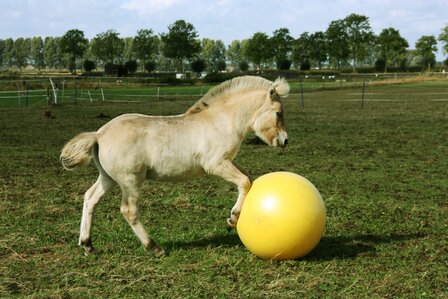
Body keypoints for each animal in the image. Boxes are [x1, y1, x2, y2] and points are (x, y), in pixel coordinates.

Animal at [60, 76, 290, 256]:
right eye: (279, 113)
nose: (285, 141)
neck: (220, 121)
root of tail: (99, 134)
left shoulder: (227, 161)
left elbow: (248, 177)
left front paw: (231, 219)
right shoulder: (215, 164)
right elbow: (244, 182)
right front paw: (232, 219)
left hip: (108, 178)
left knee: (90, 198)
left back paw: (87, 245)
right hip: (131, 180)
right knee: (128, 210)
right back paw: (154, 247)